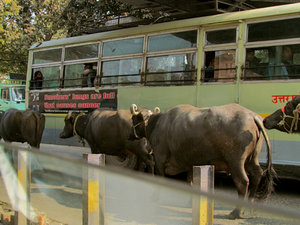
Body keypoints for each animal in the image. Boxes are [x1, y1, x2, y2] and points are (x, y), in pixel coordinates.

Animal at [130, 104, 276, 220]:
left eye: (132, 119)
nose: (130, 135)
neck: (157, 124)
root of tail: (252, 116)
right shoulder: (190, 163)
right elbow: (191, 182)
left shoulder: (160, 160)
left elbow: (160, 180)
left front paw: (154, 197)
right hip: (252, 159)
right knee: (257, 174)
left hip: (236, 162)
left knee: (243, 181)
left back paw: (235, 212)